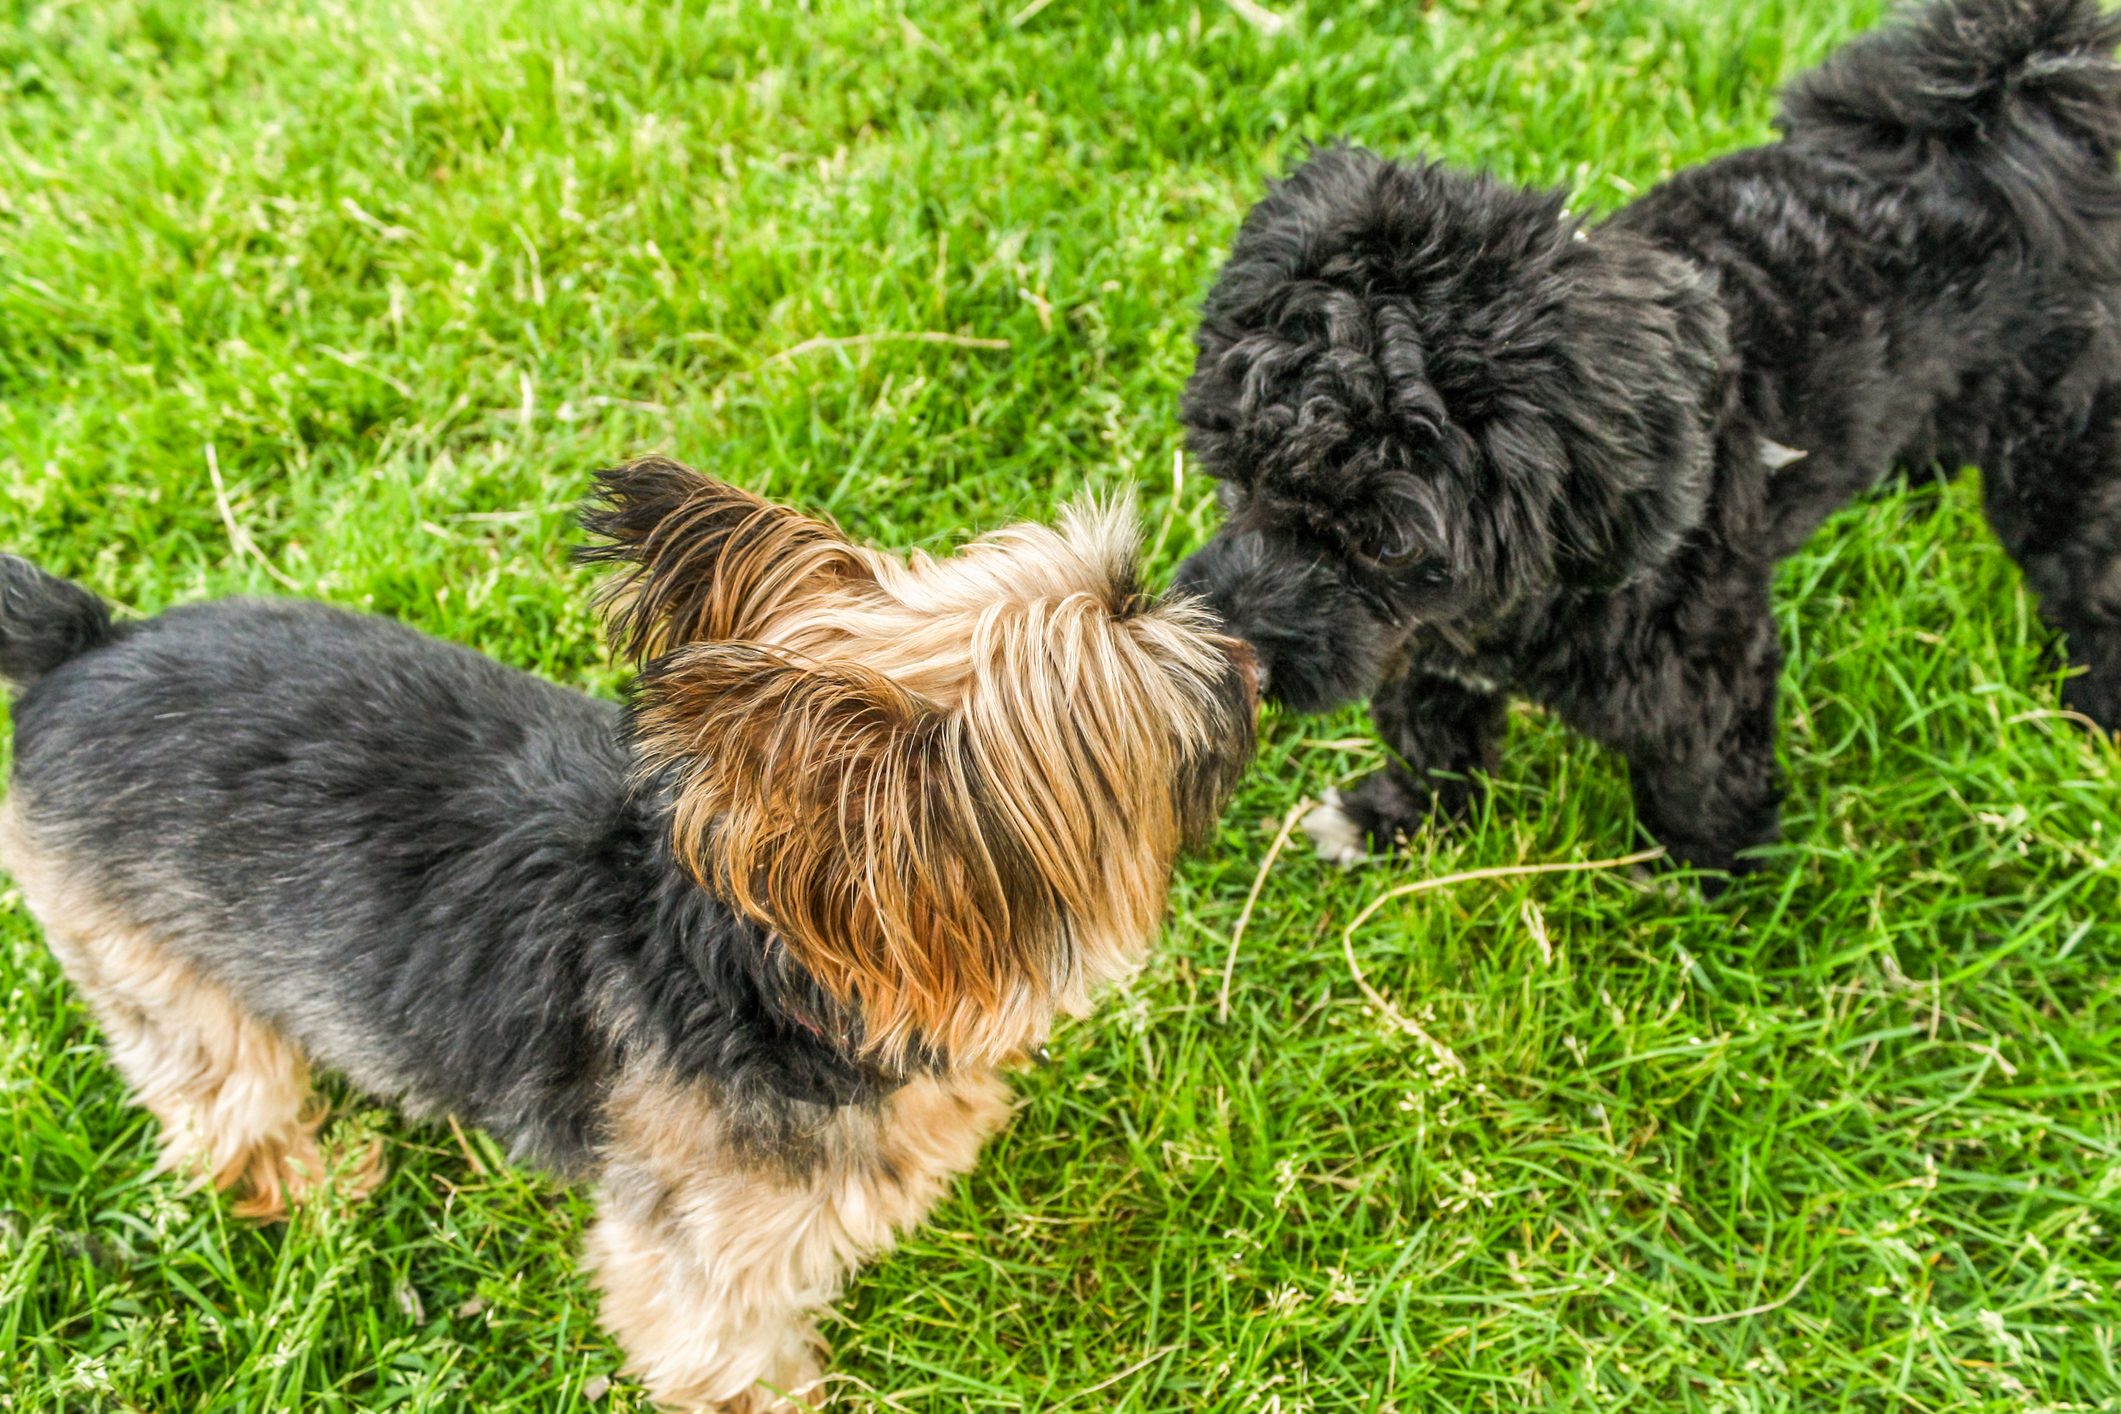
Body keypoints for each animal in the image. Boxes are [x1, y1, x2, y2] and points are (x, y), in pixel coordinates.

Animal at [1170, 0, 2121, 877]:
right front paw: (1395, 821)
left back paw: (2095, 713)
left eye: (1388, 545)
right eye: (1234, 475)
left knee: (2090, 586)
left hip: (2061, 461)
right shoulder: (1423, 652)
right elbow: (1430, 739)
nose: (1235, 661)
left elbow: (1699, 782)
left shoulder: (1701, 679)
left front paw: (1711, 889)